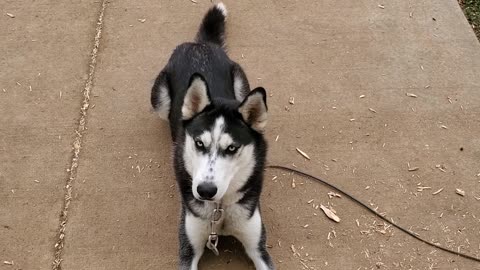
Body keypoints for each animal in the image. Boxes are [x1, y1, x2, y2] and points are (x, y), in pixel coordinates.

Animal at [152, 2, 276, 270]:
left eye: (232, 148)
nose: (205, 191)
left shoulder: (258, 247)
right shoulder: (188, 249)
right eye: (199, 143)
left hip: (241, 82)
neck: (220, 211)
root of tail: (202, 45)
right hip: (158, 101)